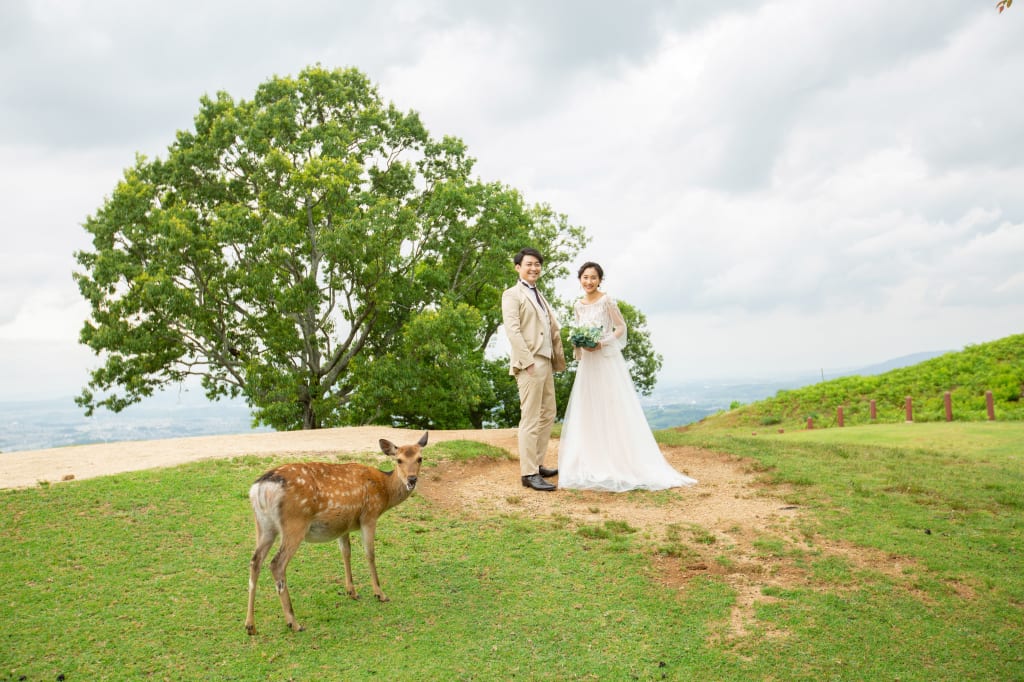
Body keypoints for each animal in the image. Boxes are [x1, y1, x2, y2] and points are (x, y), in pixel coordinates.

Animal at [244, 430, 428, 630]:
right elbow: (370, 554)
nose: (412, 479)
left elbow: (346, 552)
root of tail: (260, 489)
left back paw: (250, 625)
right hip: (294, 524)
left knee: (255, 561)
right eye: (399, 460)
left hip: (263, 525)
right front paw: (380, 593)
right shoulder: (369, 515)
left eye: (420, 458)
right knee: (276, 563)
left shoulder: (343, 525)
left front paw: (352, 592)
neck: (385, 491)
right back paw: (293, 622)